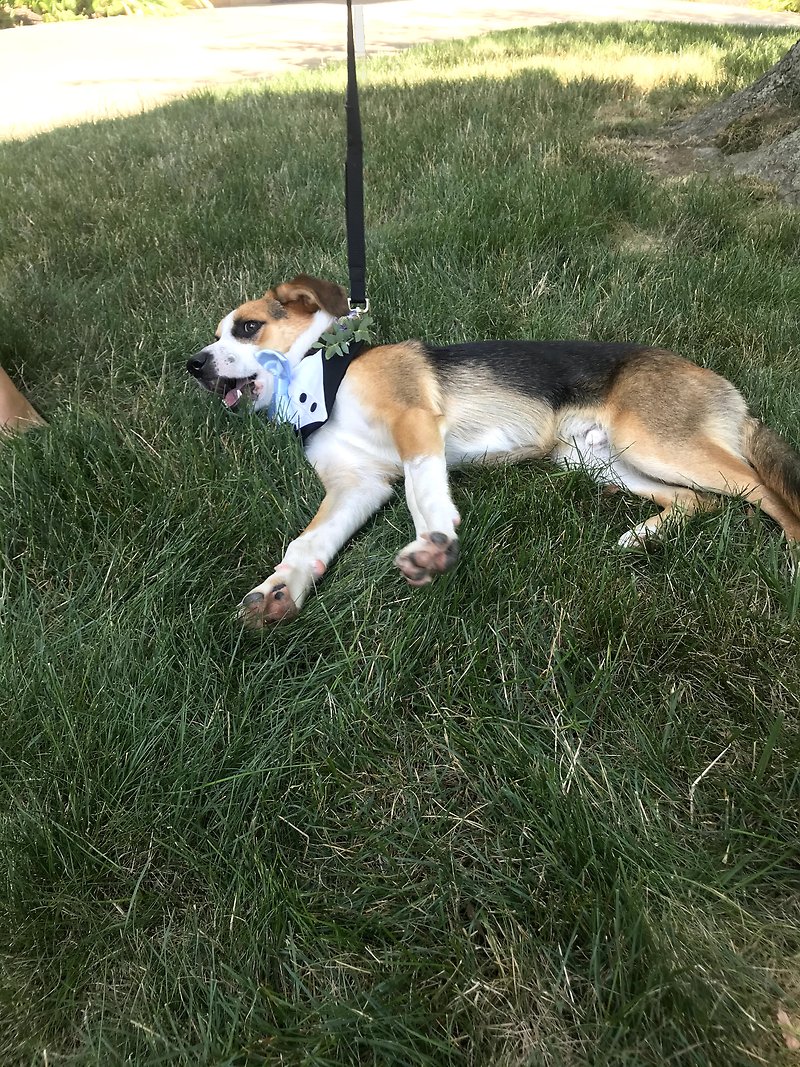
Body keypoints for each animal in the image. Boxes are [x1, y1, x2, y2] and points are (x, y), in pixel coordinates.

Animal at [187, 274, 800, 627]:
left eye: (247, 328)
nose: (193, 366)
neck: (321, 375)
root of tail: (731, 395)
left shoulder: (413, 421)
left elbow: (422, 488)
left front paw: (433, 544)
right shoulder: (356, 485)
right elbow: (308, 541)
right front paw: (279, 589)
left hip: (656, 442)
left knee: (765, 492)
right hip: (602, 459)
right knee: (700, 502)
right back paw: (641, 536)